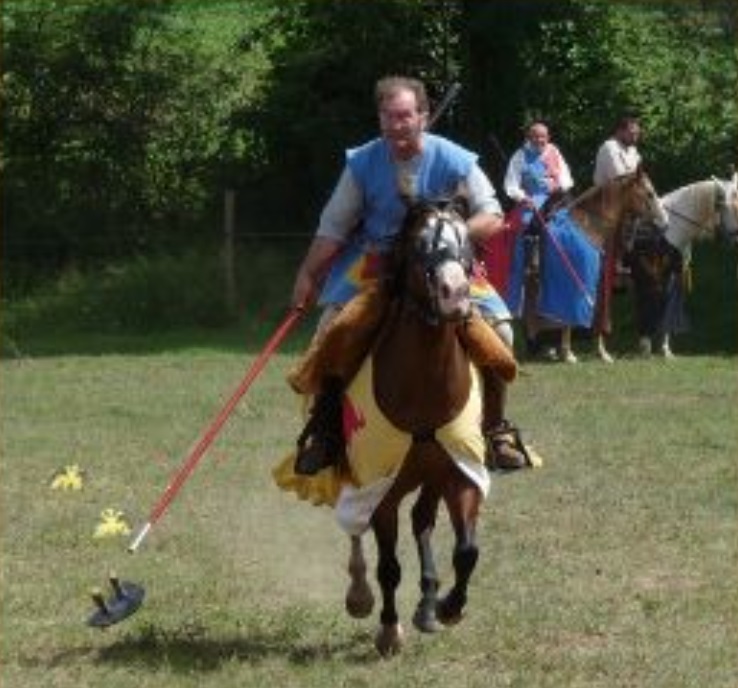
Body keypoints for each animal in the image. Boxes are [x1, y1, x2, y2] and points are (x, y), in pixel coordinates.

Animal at [628, 175, 736, 358]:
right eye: (725, 206)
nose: (735, 238)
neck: (670, 230)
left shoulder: (673, 278)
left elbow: (668, 312)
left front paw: (665, 350)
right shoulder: (652, 281)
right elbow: (651, 311)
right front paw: (646, 348)